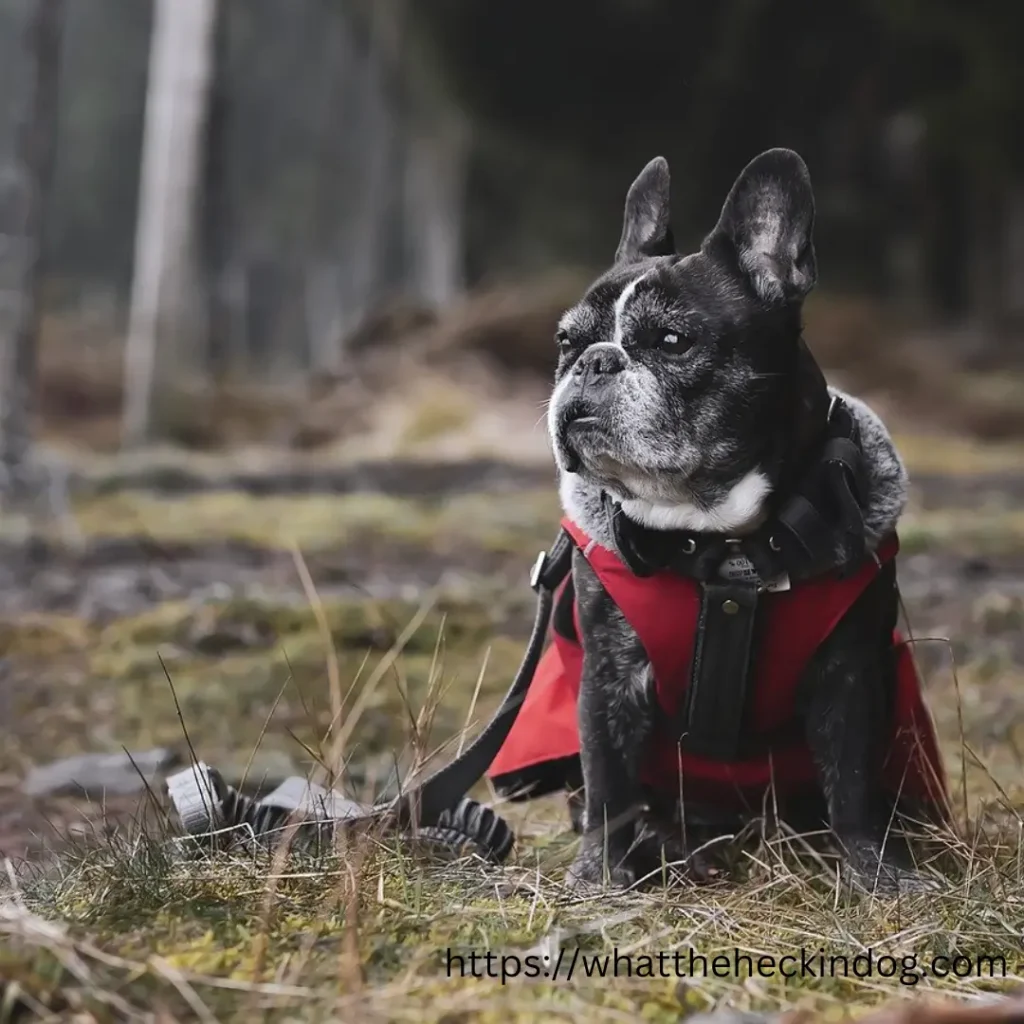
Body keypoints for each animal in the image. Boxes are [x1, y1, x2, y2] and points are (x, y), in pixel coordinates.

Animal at [483, 148, 946, 892]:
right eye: (565, 342)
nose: (594, 360)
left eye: (673, 341)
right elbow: (607, 783)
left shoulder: (850, 676)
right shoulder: (608, 677)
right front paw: (598, 879)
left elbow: (852, 786)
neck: (721, 539)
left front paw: (879, 874)